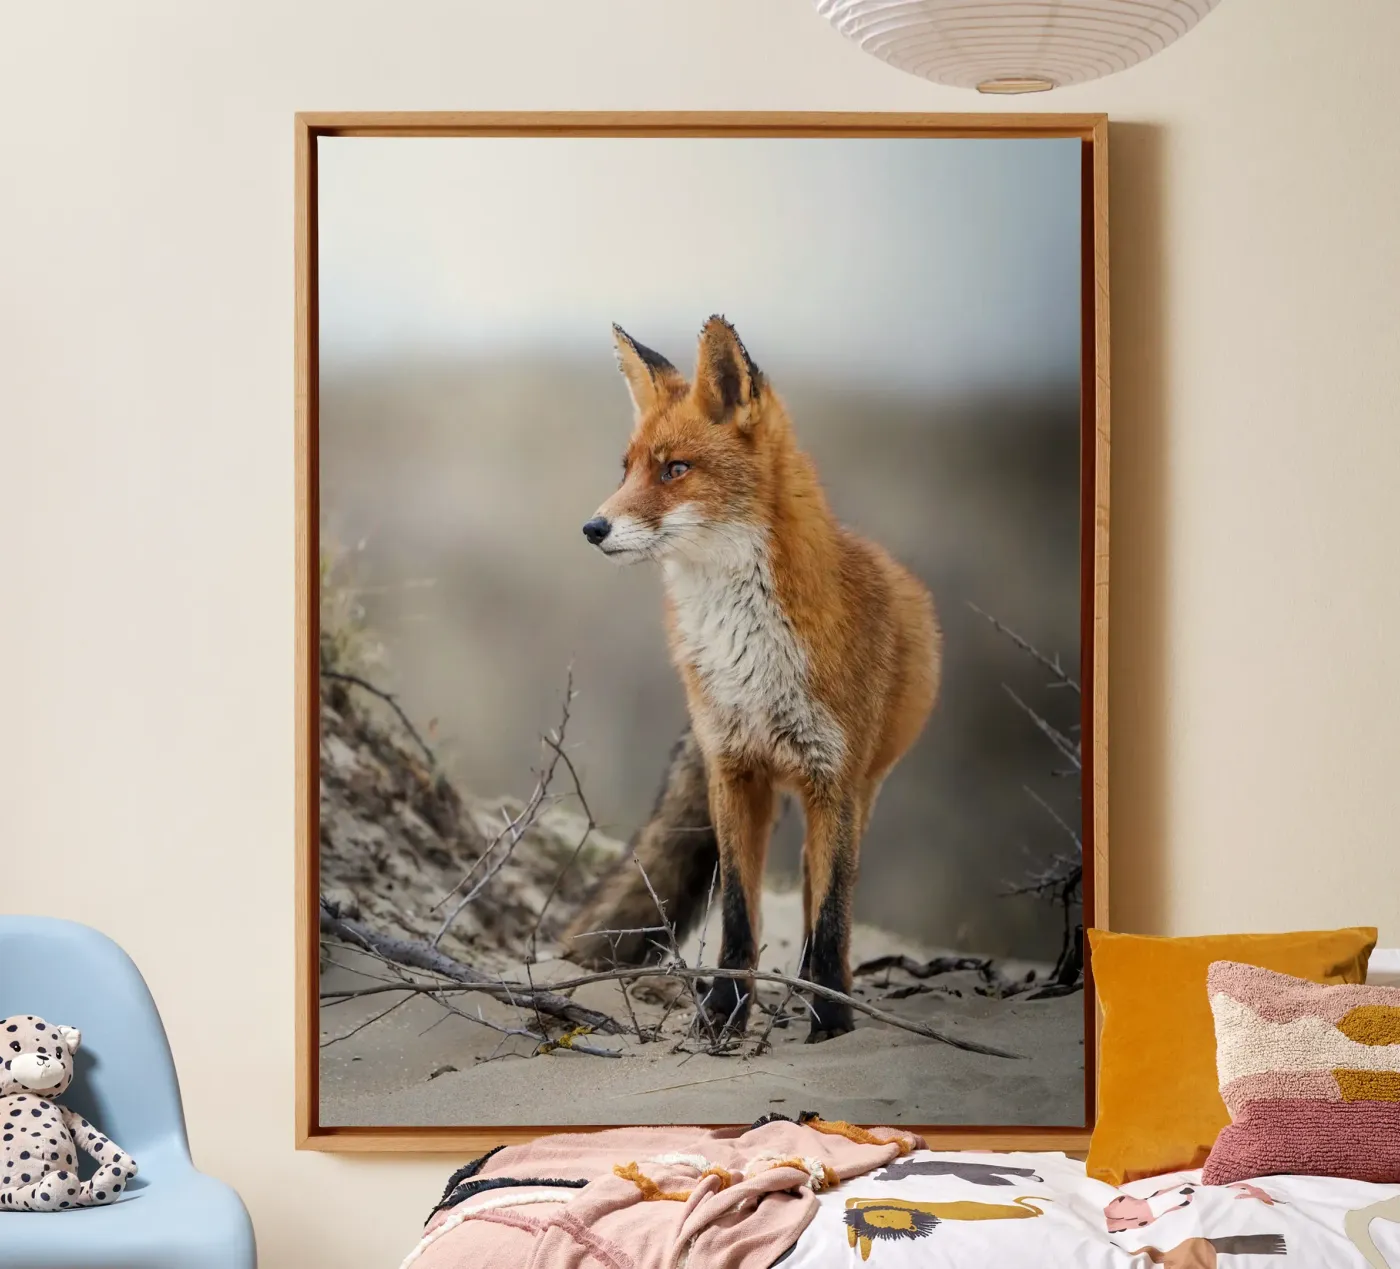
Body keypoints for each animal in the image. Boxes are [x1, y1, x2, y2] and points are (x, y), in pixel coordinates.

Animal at [565, 315, 941, 1042]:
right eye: (626, 469)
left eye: (675, 469)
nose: (593, 527)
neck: (750, 654)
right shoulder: (732, 768)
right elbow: (739, 912)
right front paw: (722, 1014)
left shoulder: (834, 778)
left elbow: (831, 917)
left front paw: (831, 1021)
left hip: (858, 794)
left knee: (824, 898)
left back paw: (823, 990)